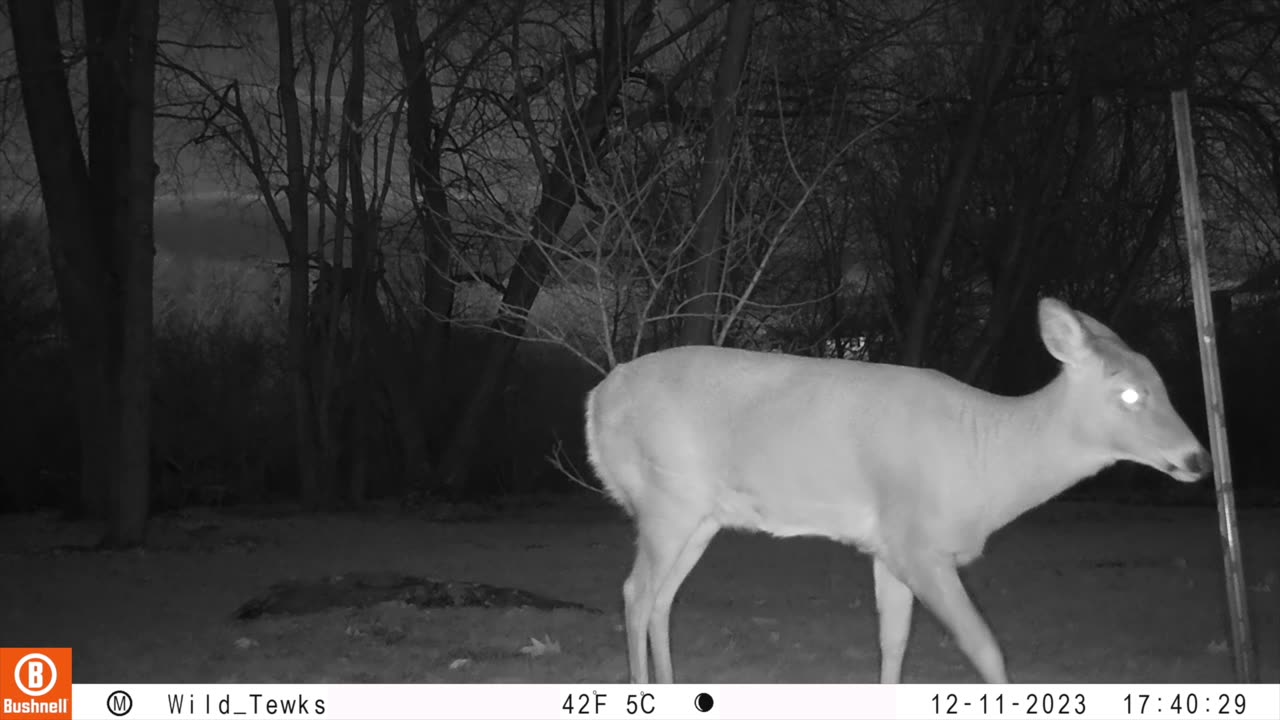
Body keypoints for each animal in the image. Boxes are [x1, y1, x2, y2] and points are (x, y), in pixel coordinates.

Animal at [581, 294, 1208, 681]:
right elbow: (985, 648)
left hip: (701, 514)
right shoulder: (916, 540)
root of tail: (596, 399)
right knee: (635, 593)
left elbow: (894, 641)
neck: (988, 462)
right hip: (666, 498)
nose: (1198, 458)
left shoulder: (887, 548)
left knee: (662, 598)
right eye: (1130, 394)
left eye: (1161, 383)